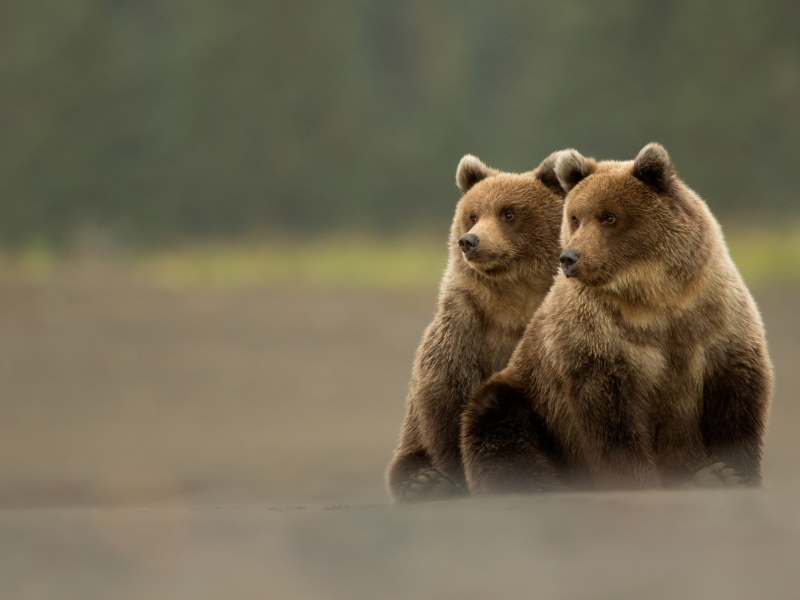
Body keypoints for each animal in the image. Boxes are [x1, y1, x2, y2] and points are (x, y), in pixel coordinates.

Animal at [386, 152, 567, 503]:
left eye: (508, 213)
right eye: (472, 214)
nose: (470, 241)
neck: (512, 304)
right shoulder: (464, 326)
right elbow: (446, 397)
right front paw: (447, 479)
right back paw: (424, 482)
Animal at [460, 143, 773, 494]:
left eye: (609, 217)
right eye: (575, 218)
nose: (569, 258)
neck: (652, 298)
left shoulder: (710, 317)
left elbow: (736, 401)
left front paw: (730, 471)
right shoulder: (598, 341)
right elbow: (613, 424)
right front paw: (639, 481)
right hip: (530, 402)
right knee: (497, 422)